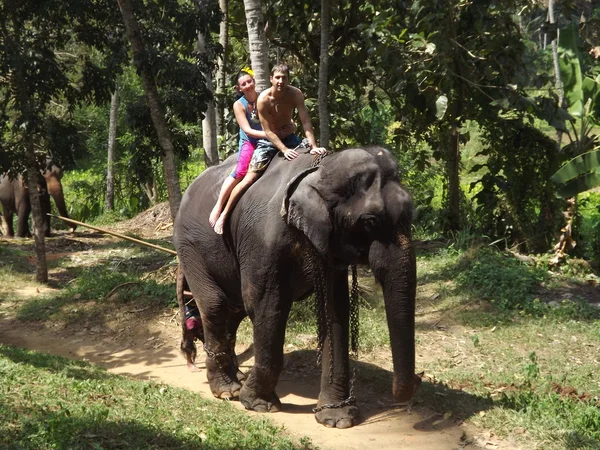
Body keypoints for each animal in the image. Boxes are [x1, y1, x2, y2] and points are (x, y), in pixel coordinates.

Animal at [171, 147, 420, 428]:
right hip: (190, 246)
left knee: (233, 311)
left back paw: (235, 379)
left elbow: (335, 312)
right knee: (216, 304)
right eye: (369, 221)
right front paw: (259, 405)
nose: (417, 381)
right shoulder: (263, 241)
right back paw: (228, 390)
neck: (318, 171)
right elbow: (266, 306)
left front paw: (338, 418)